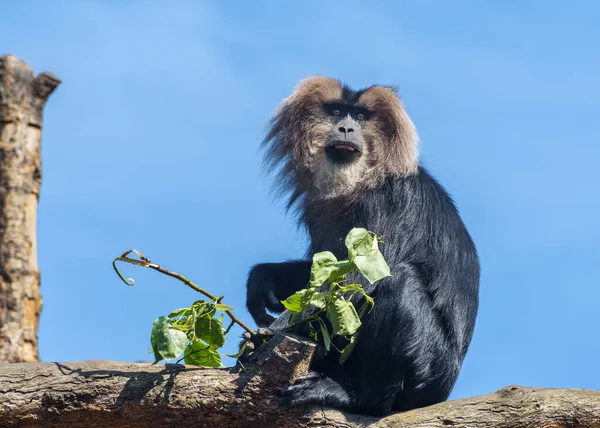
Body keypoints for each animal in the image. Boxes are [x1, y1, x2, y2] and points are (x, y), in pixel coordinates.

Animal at [244, 76, 478, 414]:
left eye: (361, 117)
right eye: (336, 112)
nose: (345, 128)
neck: (360, 178)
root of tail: (444, 391)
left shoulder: (387, 200)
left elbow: (357, 278)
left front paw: (268, 337)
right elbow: (324, 267)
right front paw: (263, 279)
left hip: (429, 370)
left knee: (400, 282)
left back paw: (356, 397)